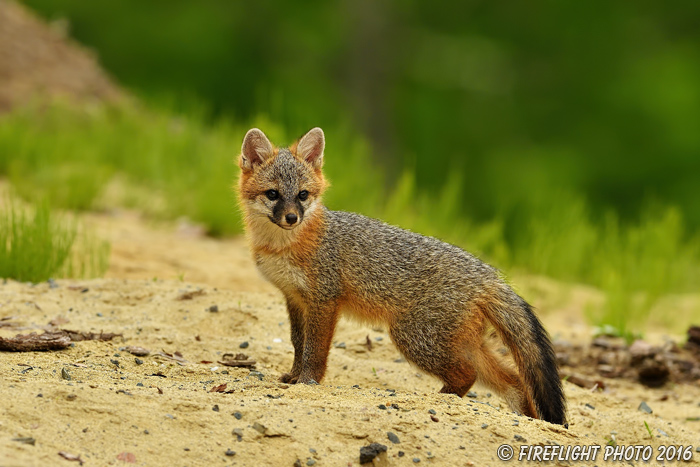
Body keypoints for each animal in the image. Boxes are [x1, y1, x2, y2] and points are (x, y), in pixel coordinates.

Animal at [238, 126, 568, 426]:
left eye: (303, 195)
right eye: (273, 194)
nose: (292, 218)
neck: (283, 246)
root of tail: (487, 275)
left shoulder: (324, 301)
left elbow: (314, 350)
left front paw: (307, 381)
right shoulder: (294, 298)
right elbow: (298, 343)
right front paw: (294, 376)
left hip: (414, 338)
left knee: (470, 375)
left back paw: (442, 398)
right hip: (454, 344)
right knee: (512, 381)